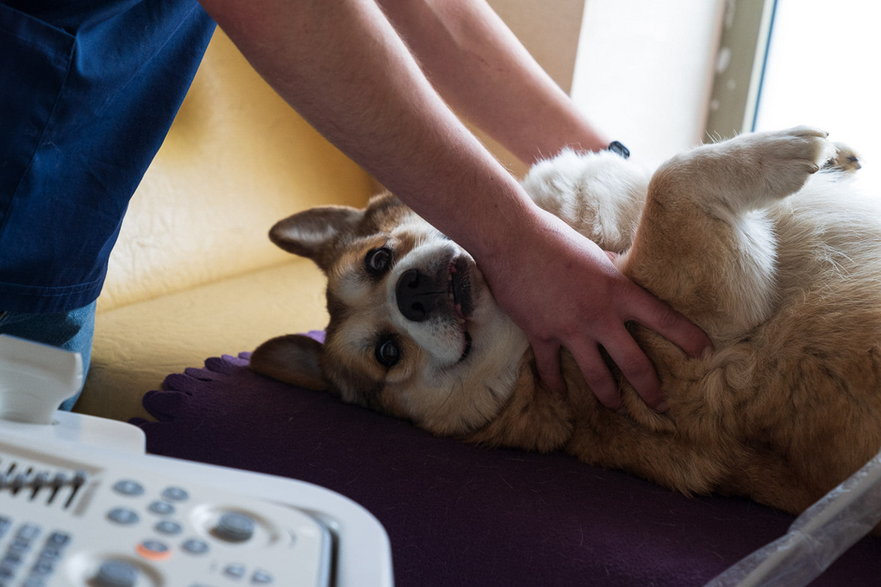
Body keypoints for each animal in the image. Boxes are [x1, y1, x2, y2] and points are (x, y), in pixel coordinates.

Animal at [249, 127, 880, 516]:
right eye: (387, 354)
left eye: (378, 261)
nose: (413, 294)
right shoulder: (699, 315)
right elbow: (670, 182)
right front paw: (783, 152)